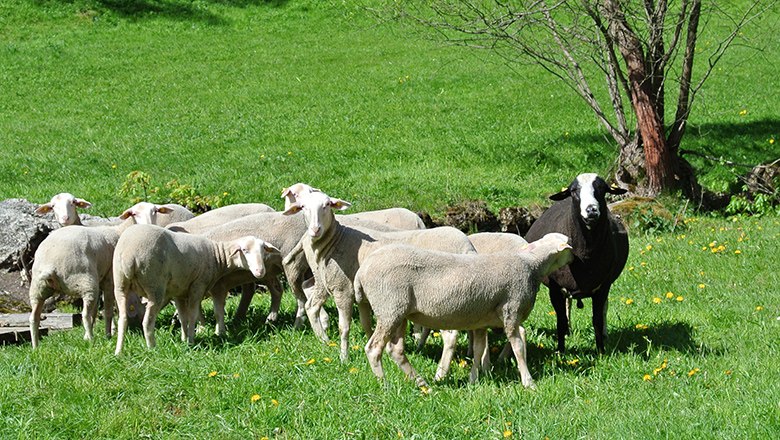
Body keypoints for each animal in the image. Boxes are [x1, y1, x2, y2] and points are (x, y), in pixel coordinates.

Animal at [112, 224, 279, 355]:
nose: (260, 271)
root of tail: (129, 256)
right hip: (154, 286)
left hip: (119, 285)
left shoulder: (178, 291)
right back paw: (152, 348)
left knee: (123, 318)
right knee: (147, 321)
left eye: (264, 250)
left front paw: (184, 338)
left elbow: (183, 317)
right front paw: (191, 341)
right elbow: (193, 316)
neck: (217, 255)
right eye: (244, 250)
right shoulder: (198, 286)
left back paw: (118, 352)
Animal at [282, 190, 476, 364]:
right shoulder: (360, 296)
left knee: (311, 305)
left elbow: (344, 327)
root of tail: (467, 248)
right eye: (303, 207)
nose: (315, 229)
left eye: (327, 205)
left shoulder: (342, 289)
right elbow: (365, 323)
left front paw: (344, 358)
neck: (337, 239)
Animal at [353, 233, 574, 388]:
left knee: (395, 350)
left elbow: (478, 349)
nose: (575, 257)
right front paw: (529, 383)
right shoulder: (512, 310)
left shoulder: (482, 321)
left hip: (400, 313)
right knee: (374, 349)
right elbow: (518, 345)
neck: (532, 265)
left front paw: (473, 379)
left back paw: (423, 384)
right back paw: (385, 385)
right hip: (389, 309)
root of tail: (362, 270)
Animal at [524, 173, 628, 353]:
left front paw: (601, 352)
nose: (591, 210)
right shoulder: (555, 287)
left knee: (603, 308)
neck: (585, 254)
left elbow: (597, 319)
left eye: (602, 188)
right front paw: (561, 351)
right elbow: (560, 320)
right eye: (574, 190)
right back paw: (568, 332)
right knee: (568, 306)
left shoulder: (603, 285)